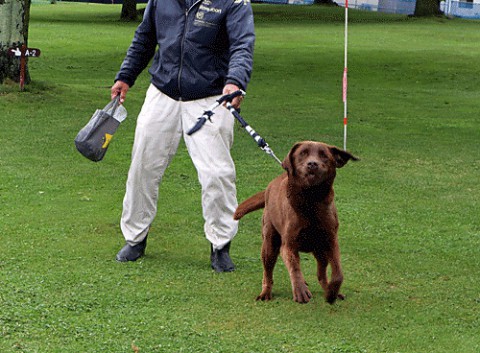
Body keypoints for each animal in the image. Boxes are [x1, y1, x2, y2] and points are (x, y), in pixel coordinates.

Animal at [234, 140, 358, 302]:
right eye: (302, 153)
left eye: (324, 155)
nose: (312, 164)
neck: (311, 200)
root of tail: (270, 186)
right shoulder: (289, 245)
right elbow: (295, 267)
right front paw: (300, 290)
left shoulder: (331, 241)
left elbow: (338, 273)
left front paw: (332, 293)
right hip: (269, 244)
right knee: (268, 273)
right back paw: (265, 293)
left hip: (320, 250)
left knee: (321, 274)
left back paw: (328, 289)